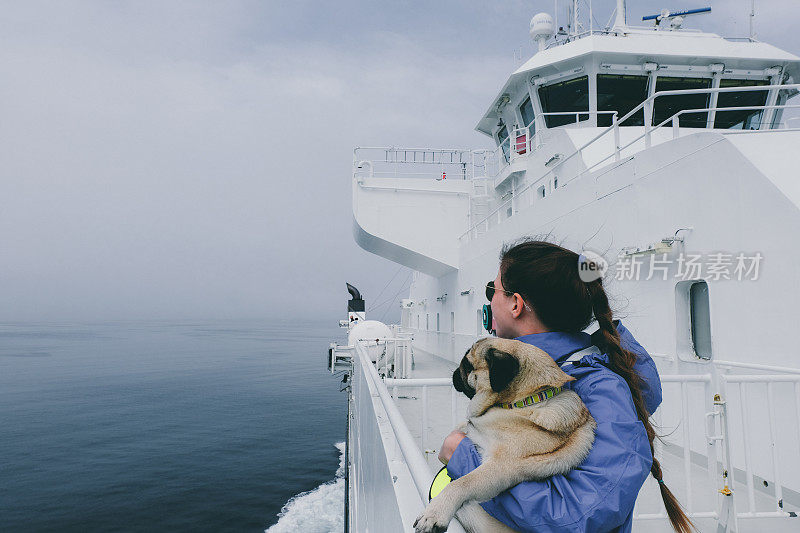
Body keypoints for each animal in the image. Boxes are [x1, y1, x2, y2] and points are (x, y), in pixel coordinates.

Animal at [412, 338, 592, 528]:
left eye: (468, 364)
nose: (455, 372)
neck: (522, 403)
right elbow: (464, 427)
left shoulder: (499, 467)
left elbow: (461, 483)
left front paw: (434, 512)